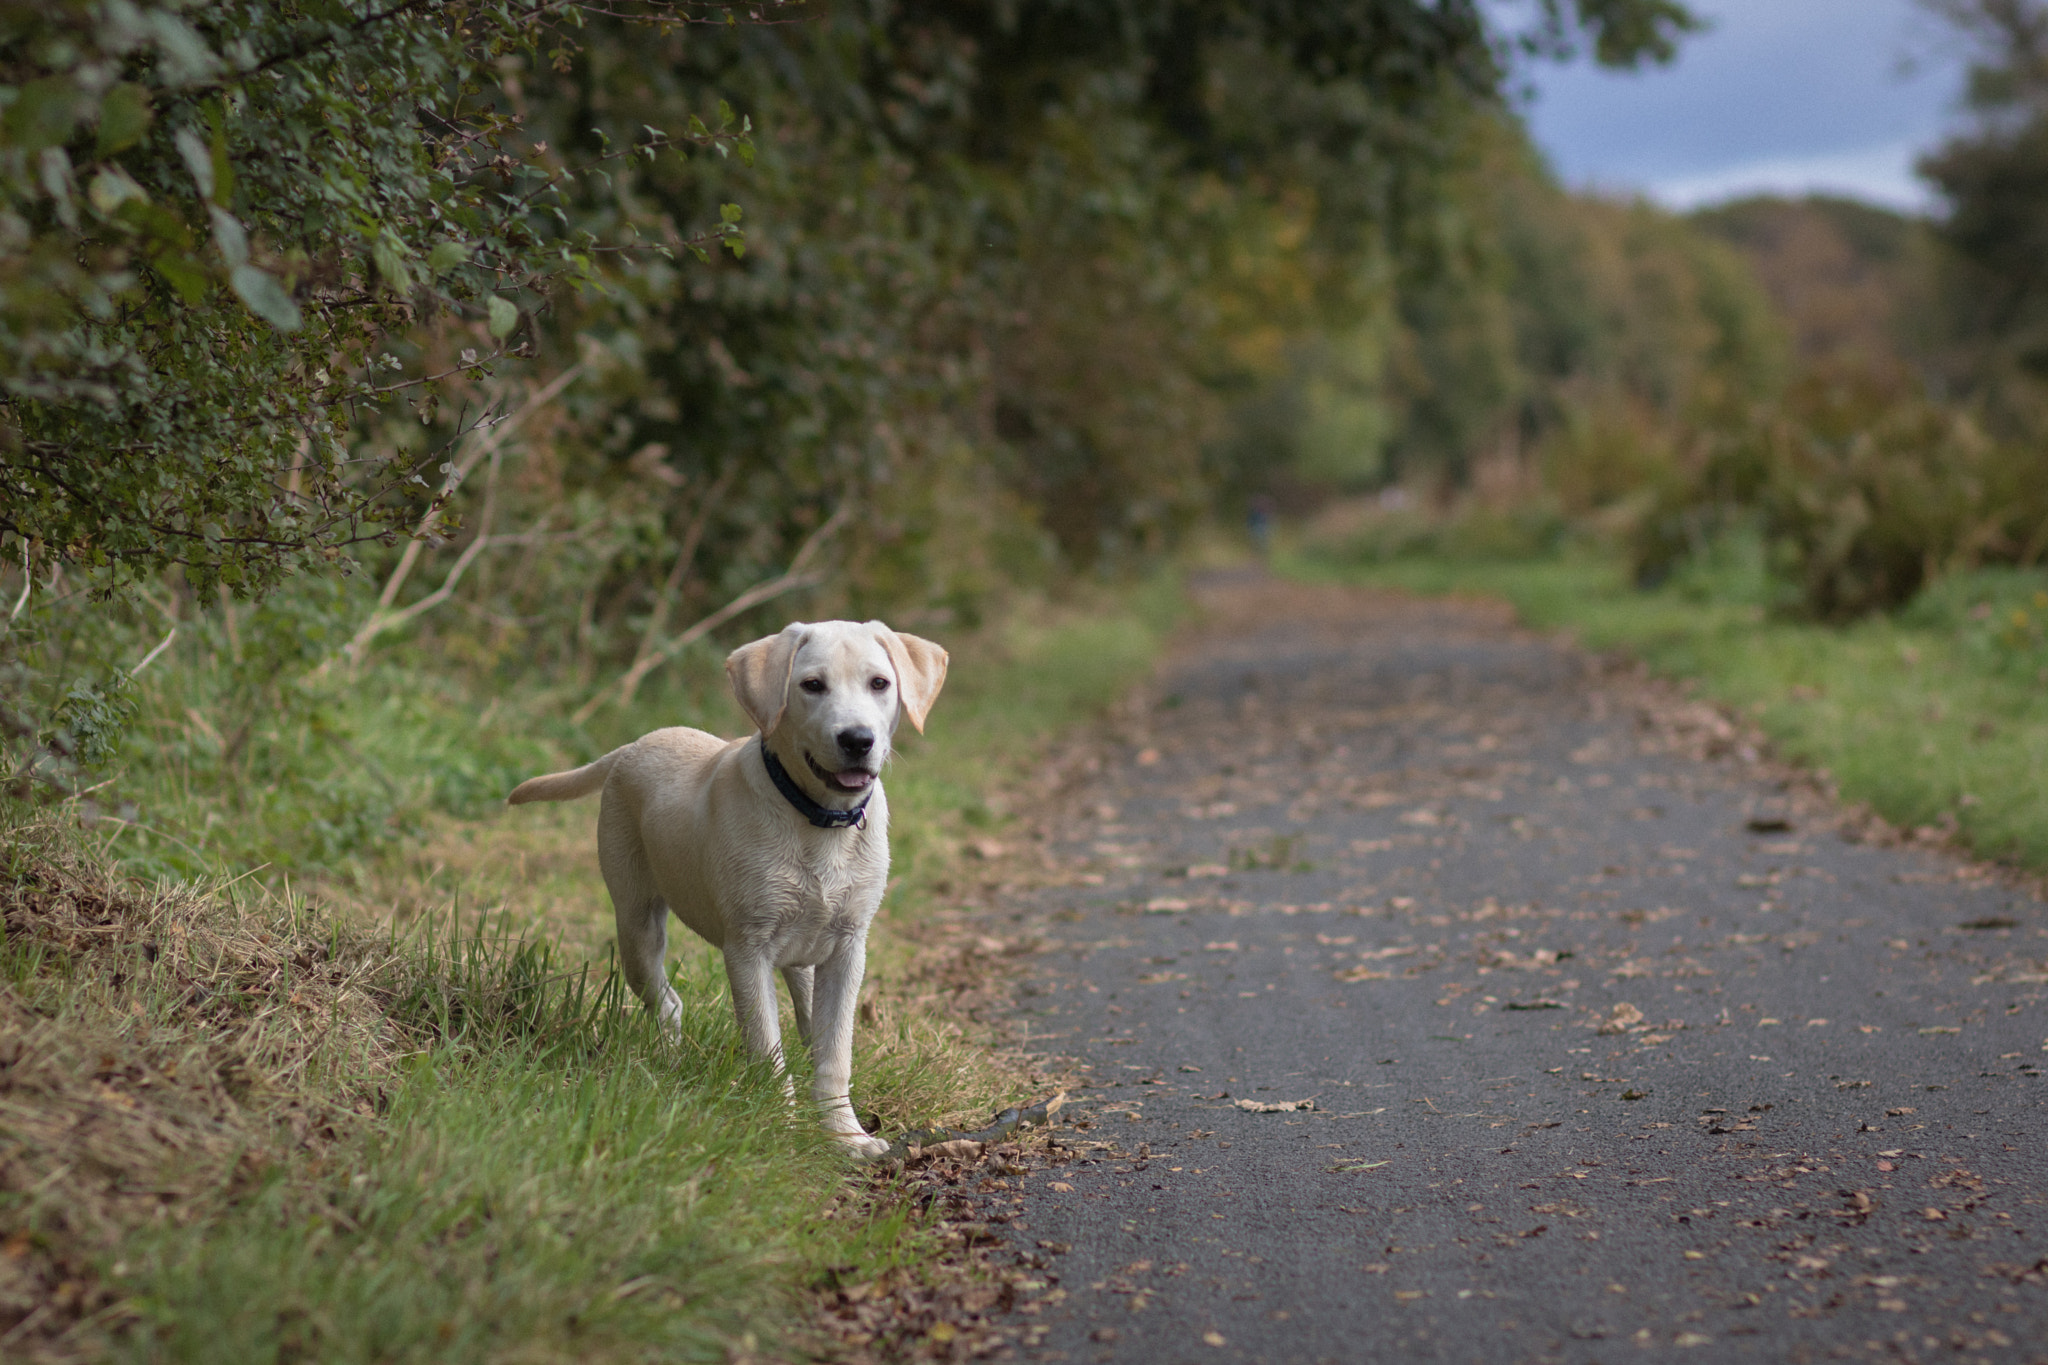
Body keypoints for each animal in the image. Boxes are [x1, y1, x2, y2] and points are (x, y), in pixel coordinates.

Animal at [520, 618, 950, 1154]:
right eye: (812, 685)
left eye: (879, 683)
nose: (857, 740)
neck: (817, 819)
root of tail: (632, 746)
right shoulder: (747, 949)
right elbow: (766, 1047)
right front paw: (783, 1129)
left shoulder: (849, 946)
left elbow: (835, 1050)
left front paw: (844, 1135)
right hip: (636, 927)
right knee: (667, 1001)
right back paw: (669, 1059)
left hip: (804, 946)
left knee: (805, 1013)